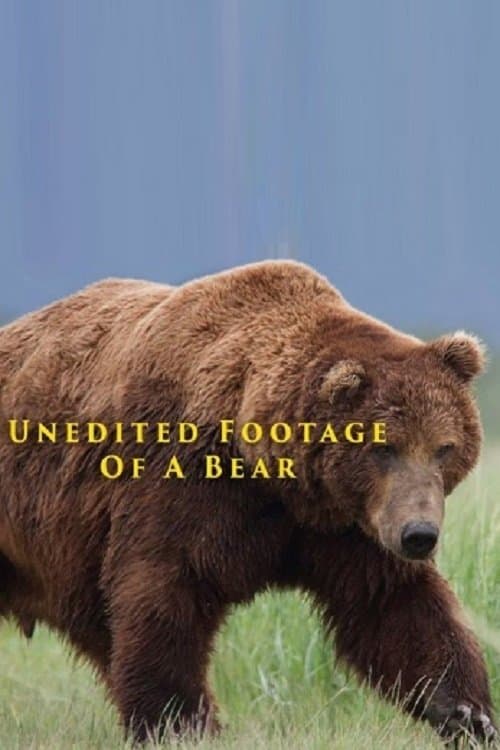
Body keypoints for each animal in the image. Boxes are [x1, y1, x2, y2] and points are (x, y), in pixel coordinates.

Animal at [0, 260, 496, 744]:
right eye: (384, 447)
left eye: (444, 447)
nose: (419, 535)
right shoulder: (181, 486)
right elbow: (162, 599)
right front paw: (180, 723)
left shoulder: (343, 527)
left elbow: (394, 606)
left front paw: (466, 713)